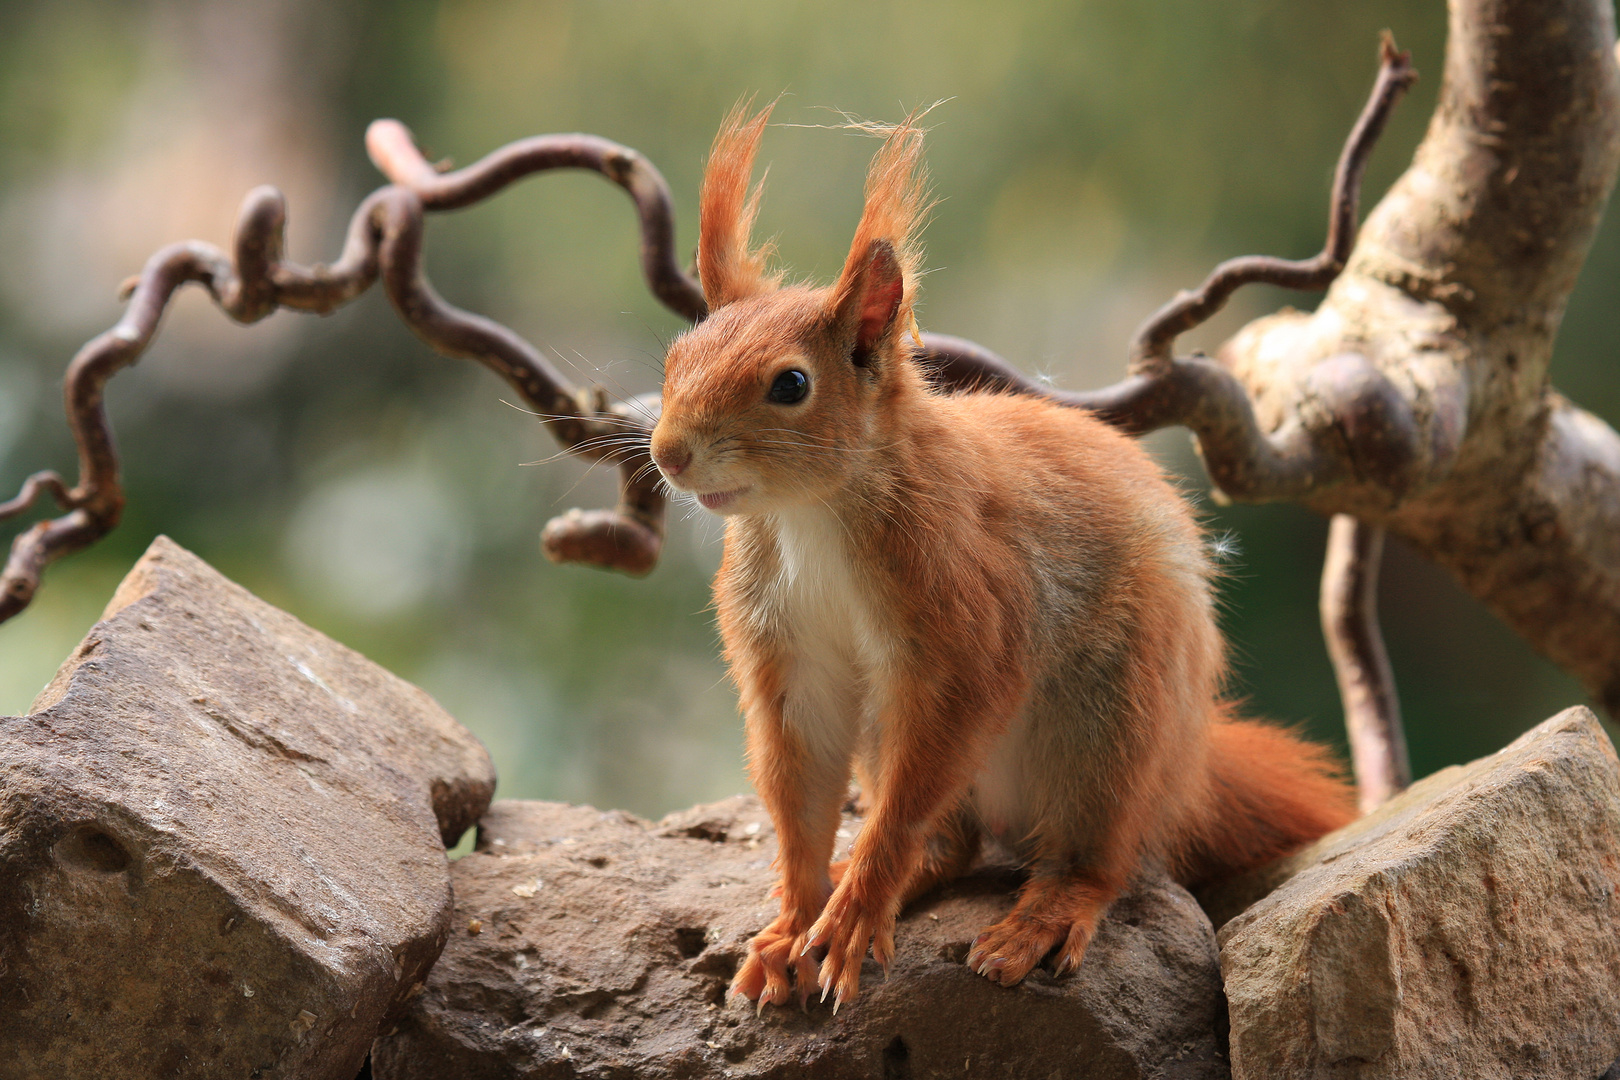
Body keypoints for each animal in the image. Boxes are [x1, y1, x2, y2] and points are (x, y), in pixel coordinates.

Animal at [644, 103, 1354, 1016]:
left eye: (790, 385)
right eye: (673, 361)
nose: (669, 454)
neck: (809, 516)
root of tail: (1188, 764)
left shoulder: (963, 616)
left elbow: (933, 752)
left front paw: (849, 918)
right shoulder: (787, 651)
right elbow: (797, 785)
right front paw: (794, 922)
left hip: (1112, 729)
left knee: (1097, 859)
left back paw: (1037, 915)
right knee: (950, 845)